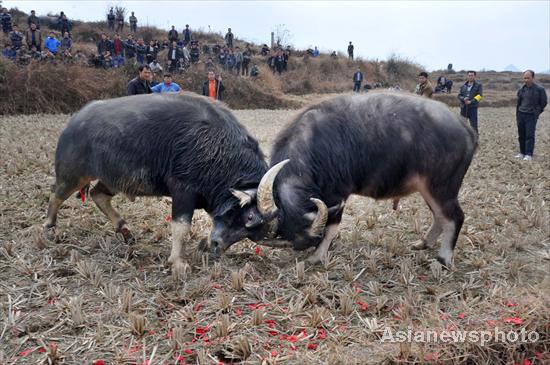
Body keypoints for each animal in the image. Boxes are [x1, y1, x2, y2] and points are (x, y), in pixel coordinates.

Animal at [45, 91, 272, 268]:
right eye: (248, 216)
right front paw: (178, 263)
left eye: (249, 231)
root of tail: (74, 121)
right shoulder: (183, 191)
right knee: (56, 194)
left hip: (112, 179)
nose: (217, 247)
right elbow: (181, 227)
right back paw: (49, 226)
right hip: (73, 174)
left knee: (97, 194)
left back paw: (125, 230)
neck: (218, 151)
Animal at [250, 92, 478, 266]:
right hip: (429, 189)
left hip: (442, 187)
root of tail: (465, 128)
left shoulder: (338, 195)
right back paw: (422, 243)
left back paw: (443, 259)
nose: (303, 245)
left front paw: (317, 256)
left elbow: (332, 226)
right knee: (440, 217)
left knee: (454, 218)